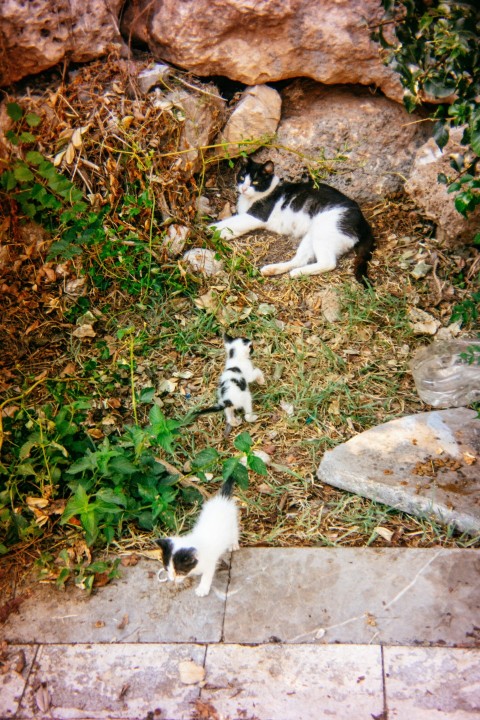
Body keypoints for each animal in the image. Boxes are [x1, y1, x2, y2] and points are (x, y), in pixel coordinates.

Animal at [210, 157, 376, 284]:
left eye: (255, 182)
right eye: (242, 178)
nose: (243, 189)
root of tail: (364, 222)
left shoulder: (257, 216)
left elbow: (236, 221)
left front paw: (213, 229)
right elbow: (235, 224)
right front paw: (224, 233)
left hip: (325, 231)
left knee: (328, 263)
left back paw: (297, 273)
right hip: (312, 235)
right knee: (301, 259)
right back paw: (276, 270)